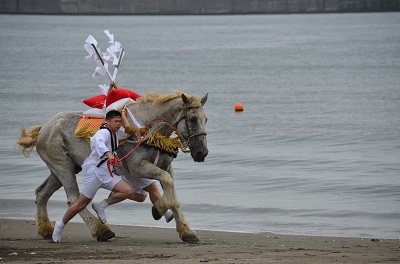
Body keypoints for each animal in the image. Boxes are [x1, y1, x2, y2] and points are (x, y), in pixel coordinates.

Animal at [16, 91, 208, 243]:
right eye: (192, 119)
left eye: (205, 119)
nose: (202, 152)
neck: (148, 129)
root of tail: (44, 127)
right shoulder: (138, 168)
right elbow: (168, 187)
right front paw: (158, 209)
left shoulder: (166, 167)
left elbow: (174, 196)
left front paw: (186, 231)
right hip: (63, 167)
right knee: (73, 198)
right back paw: (100, 230)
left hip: (60, 169)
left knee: (41, 193)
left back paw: (46, 229)